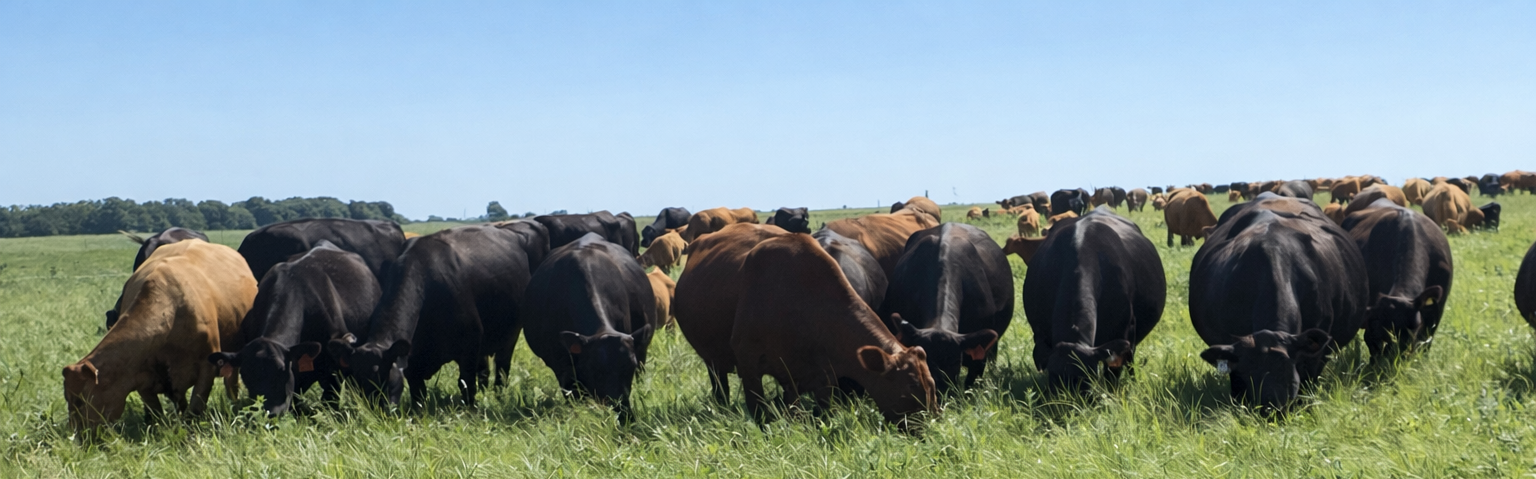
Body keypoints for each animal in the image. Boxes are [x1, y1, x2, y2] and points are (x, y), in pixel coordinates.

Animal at [64, 241, 257, 431]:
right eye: (67, 398)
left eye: (79, 401)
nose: (77, 435)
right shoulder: (141, 378)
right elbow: (157, 414)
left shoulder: (207, 367)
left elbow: (195, 409)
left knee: (231, 384)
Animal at [327, 222, 547, 407]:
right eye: (356, 380)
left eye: (385, 378)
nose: (376, 411)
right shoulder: (412, 360)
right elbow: (417, 393)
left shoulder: (470, 343)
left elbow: (466, 384)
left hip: (510, 334)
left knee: (502, 368)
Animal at [732, 234, 937, 427]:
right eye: (911, 385)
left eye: (931, 383)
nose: (931, 423)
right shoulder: (748, 367)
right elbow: (760, 415)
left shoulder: (820, 378)